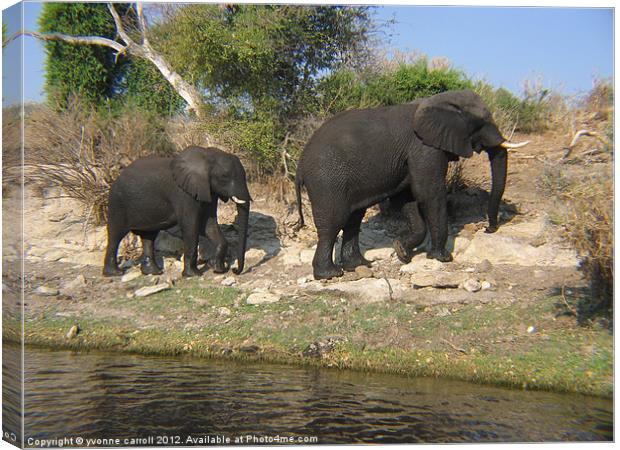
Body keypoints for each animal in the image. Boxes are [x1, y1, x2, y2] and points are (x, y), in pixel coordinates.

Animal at [104, 146, 252, 278]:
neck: (205, 156)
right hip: (117, 203)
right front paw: (193, 275)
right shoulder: (182, 194)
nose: (234, 270)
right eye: (224, 176)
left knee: (148, 237)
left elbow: (208, 225)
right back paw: (115, 273)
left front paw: (218, 270)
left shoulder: (208, 191)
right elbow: (191, 226)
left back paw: (154, 272)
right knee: (115, 235)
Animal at [296, 88, 528, 280]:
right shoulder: (424, 148)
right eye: (481, 122)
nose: (488, 229)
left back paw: (360, 265)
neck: (438, 101)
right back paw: (330, 274)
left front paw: (402, 251)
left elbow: (407, 200)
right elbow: (429, 194)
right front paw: (442, 258)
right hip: (326, 180)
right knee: (334, 222)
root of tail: (300, 162)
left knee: (353, 219)